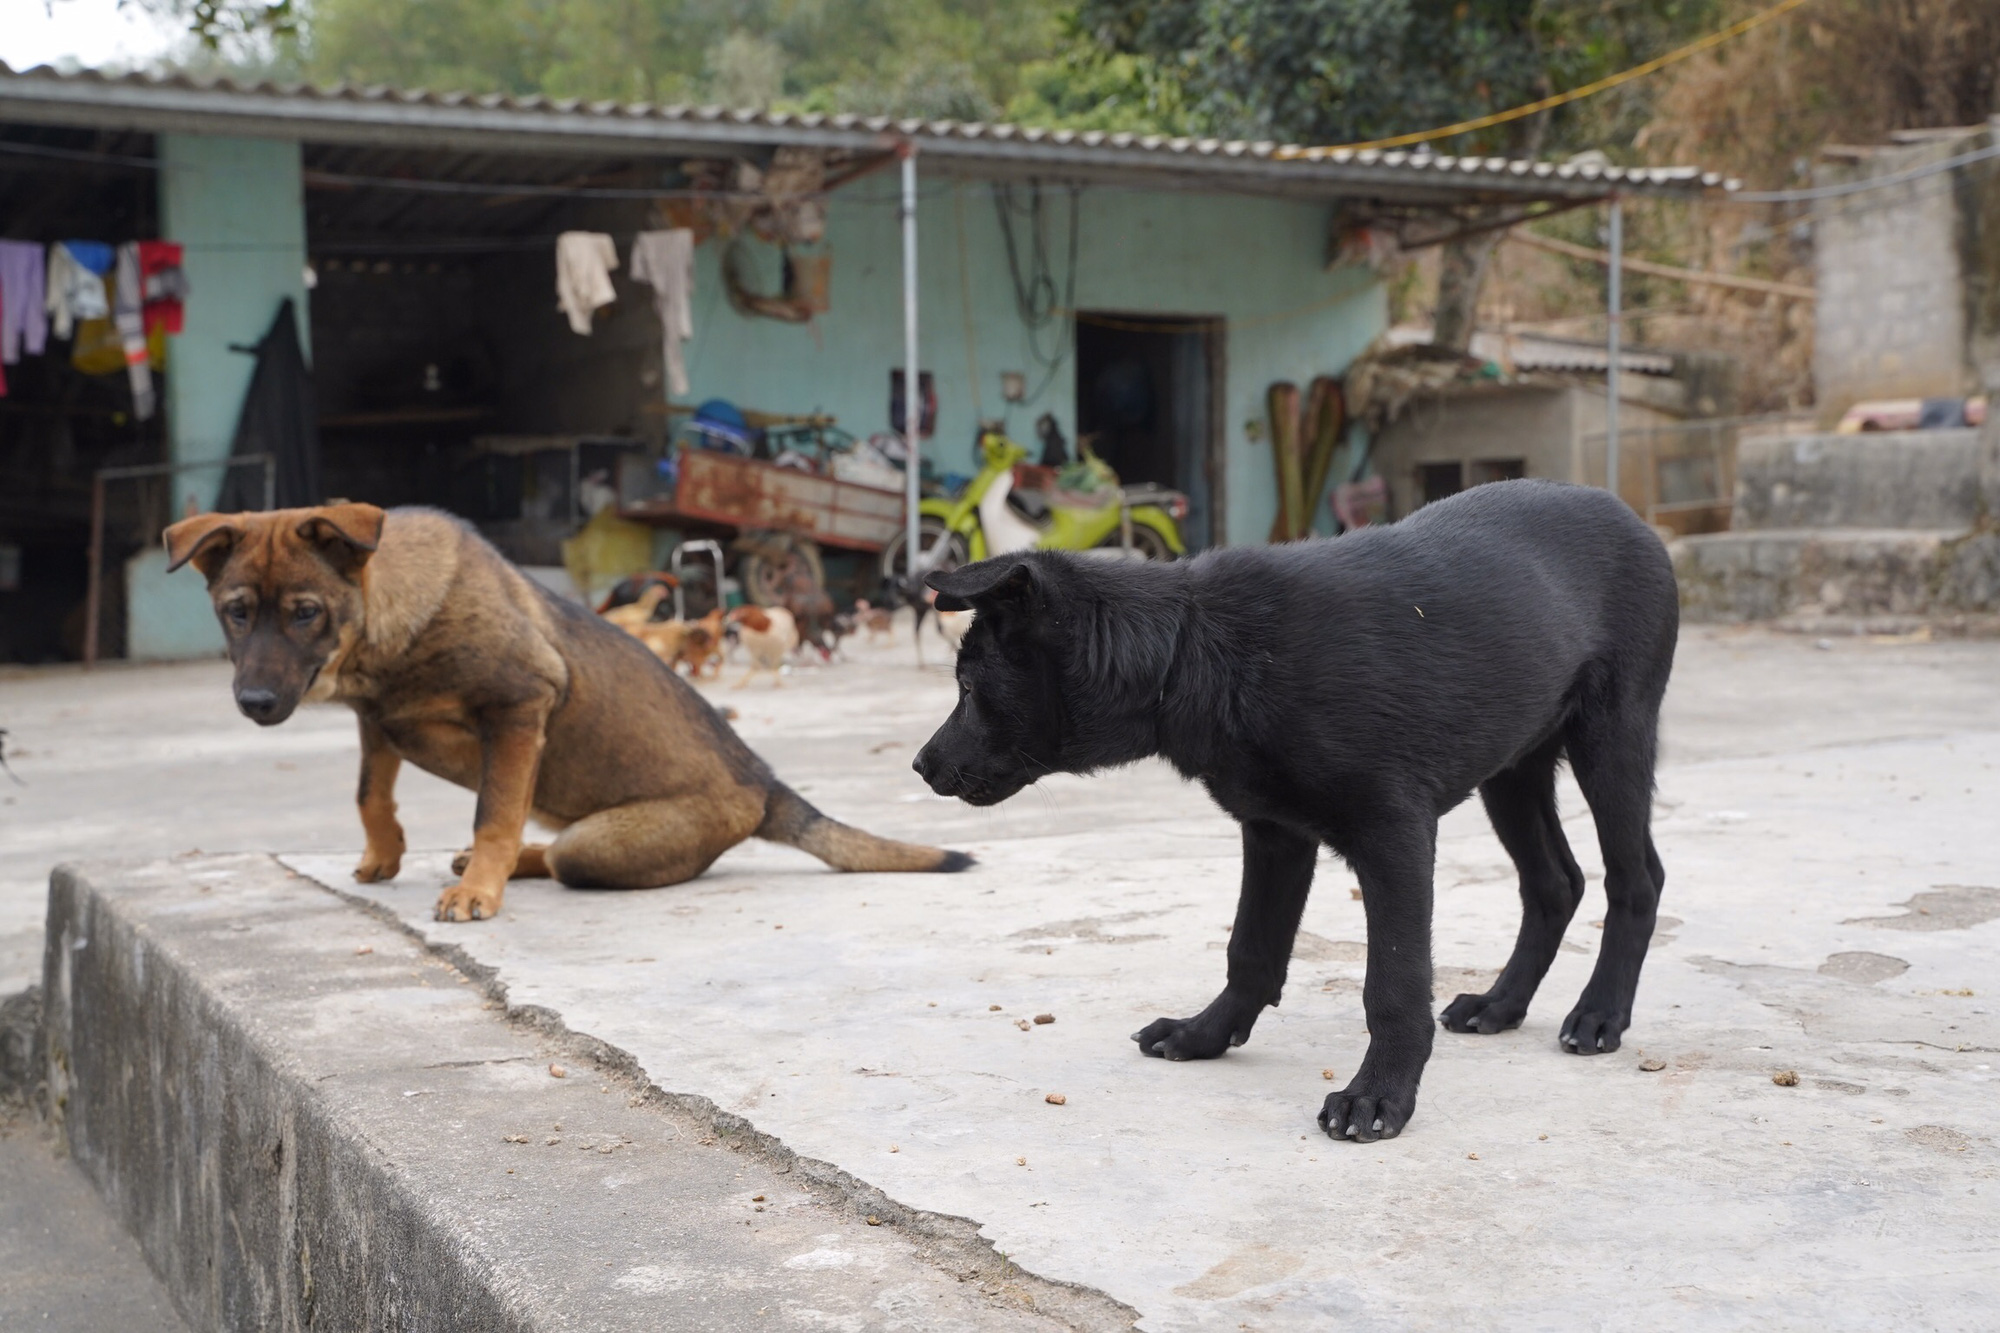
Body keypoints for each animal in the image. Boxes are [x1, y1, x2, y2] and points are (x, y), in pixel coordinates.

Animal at [162, 504, 968, 920]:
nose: (255, 703)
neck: (385, 628)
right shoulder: (376, 719)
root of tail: (764, 785)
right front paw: (384, 854)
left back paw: (501, 865)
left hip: (605, 842)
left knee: (566, 852)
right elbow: (370, 793)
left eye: (305, 612)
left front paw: (479, 890)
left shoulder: (520, 705)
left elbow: (493, 810)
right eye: (235, 611)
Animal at [916, 480, 1680, 1144]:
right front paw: (1204, 1033)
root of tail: (1630, 514)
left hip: (1613, 736)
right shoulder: (1275, 833)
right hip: (1515, 766)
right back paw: (1500, 1003)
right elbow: (1251, 947)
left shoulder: (1395, 834)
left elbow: (1393, 983)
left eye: (968, 688)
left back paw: (1600, 1012)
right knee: (1555, 883)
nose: (921, 766)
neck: (1199, 646)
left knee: (1635, 879)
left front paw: (1379, 1095)